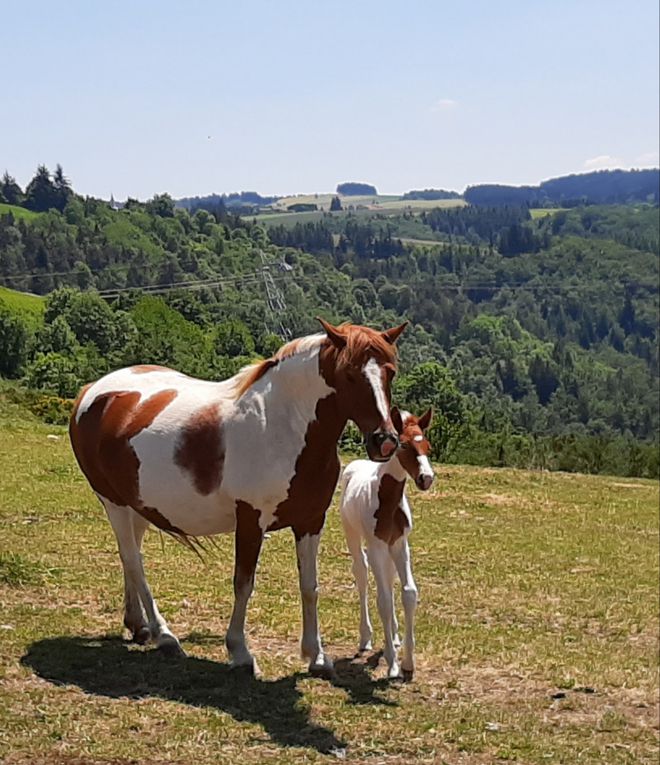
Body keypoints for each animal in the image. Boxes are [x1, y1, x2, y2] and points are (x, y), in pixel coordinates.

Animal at [69, 316, 404, 676]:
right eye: (350, 374)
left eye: (390, 372)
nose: (385, 440)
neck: (282, 427)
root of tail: (92, 391)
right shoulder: (251, 521)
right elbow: (244, 583)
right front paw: (240, 650)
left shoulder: (310, 522)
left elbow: (309, 586)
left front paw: (316, 656)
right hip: (113, 502)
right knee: (134, 560)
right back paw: (164, 635)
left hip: (138, 504)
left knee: (130, 558)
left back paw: (139, 625)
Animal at [340, 408, 434, 676]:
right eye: (404, 445)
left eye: (427, 446)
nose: (426, 478)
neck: (389, 501)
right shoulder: (377, 546)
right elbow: (383, 600)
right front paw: (393, 663)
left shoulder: (400, 544)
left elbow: (408, 593)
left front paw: (408, 662)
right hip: (352, 534)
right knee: (361, 573)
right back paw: (366, 638)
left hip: (390, 549)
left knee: (390, 580)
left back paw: (394, 636)